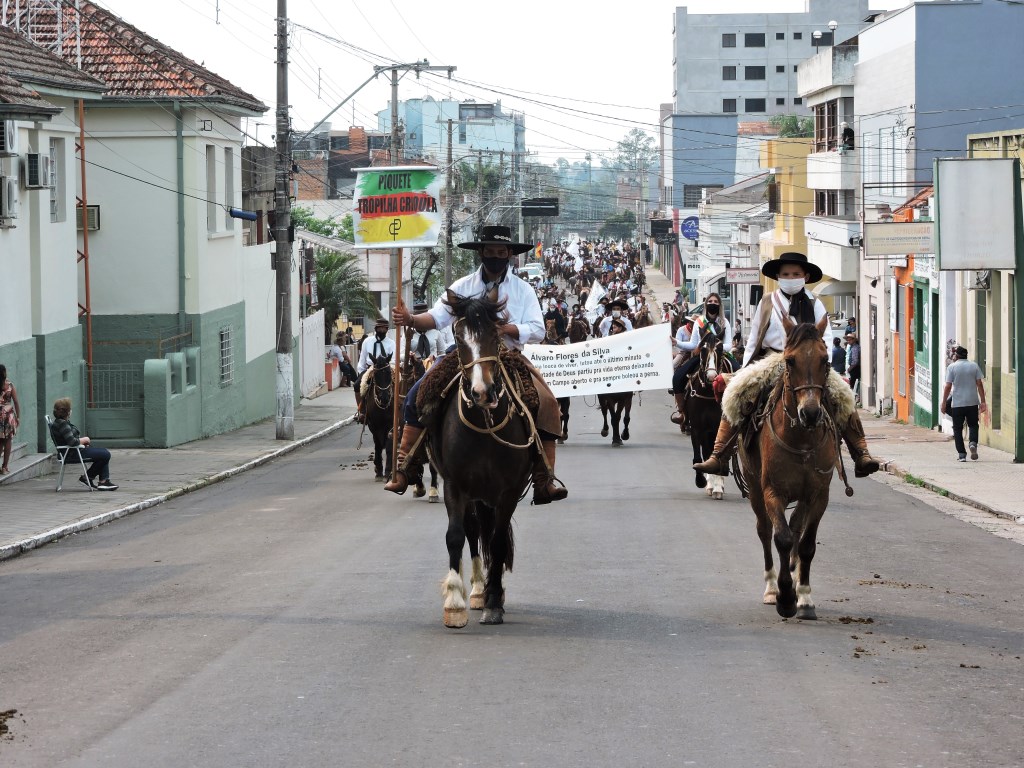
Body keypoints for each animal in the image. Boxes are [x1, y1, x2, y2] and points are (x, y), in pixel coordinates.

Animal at [423, 288, 536, 630]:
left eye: (494, 335)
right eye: (459, 338)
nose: (482, 392)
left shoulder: (508, 492)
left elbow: (498, 542)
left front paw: (494, 602)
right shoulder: (455, 485)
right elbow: (455, 536)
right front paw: (455, 602)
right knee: (472, 532)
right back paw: (474, 590)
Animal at [745, 315, 839, 622]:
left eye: (825, 360)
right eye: (789, 361)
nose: (810, 413)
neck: (801, 438)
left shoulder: (818, 495)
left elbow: (806, 544)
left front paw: (804, 596)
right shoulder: (773, 492)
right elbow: (782, 538)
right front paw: (785, 597)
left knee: (797, 528)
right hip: (754, 488)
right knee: (765, 531)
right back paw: (771, 588)